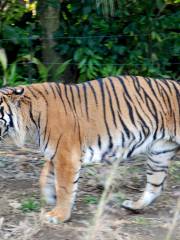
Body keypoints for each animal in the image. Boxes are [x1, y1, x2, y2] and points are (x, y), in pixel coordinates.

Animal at [0, 75, 180, 223]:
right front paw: (49, 198)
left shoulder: (66, 156)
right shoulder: (55, 153)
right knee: (155, 185)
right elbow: (45, 177)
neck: (29, 116)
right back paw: (134, 206)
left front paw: (59, 215)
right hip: (160, 153)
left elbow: (64, 187)